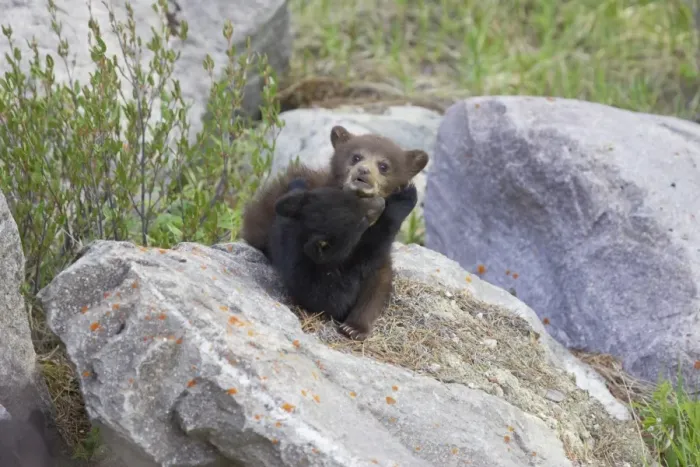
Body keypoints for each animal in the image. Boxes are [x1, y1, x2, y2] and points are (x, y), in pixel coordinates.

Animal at [241, 125, 428, 340]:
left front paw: (355, 327)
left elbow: (377, 288)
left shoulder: (379, 261)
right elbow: (325, 294)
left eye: (384, 165)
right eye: (356, 157)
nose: (363, 171)